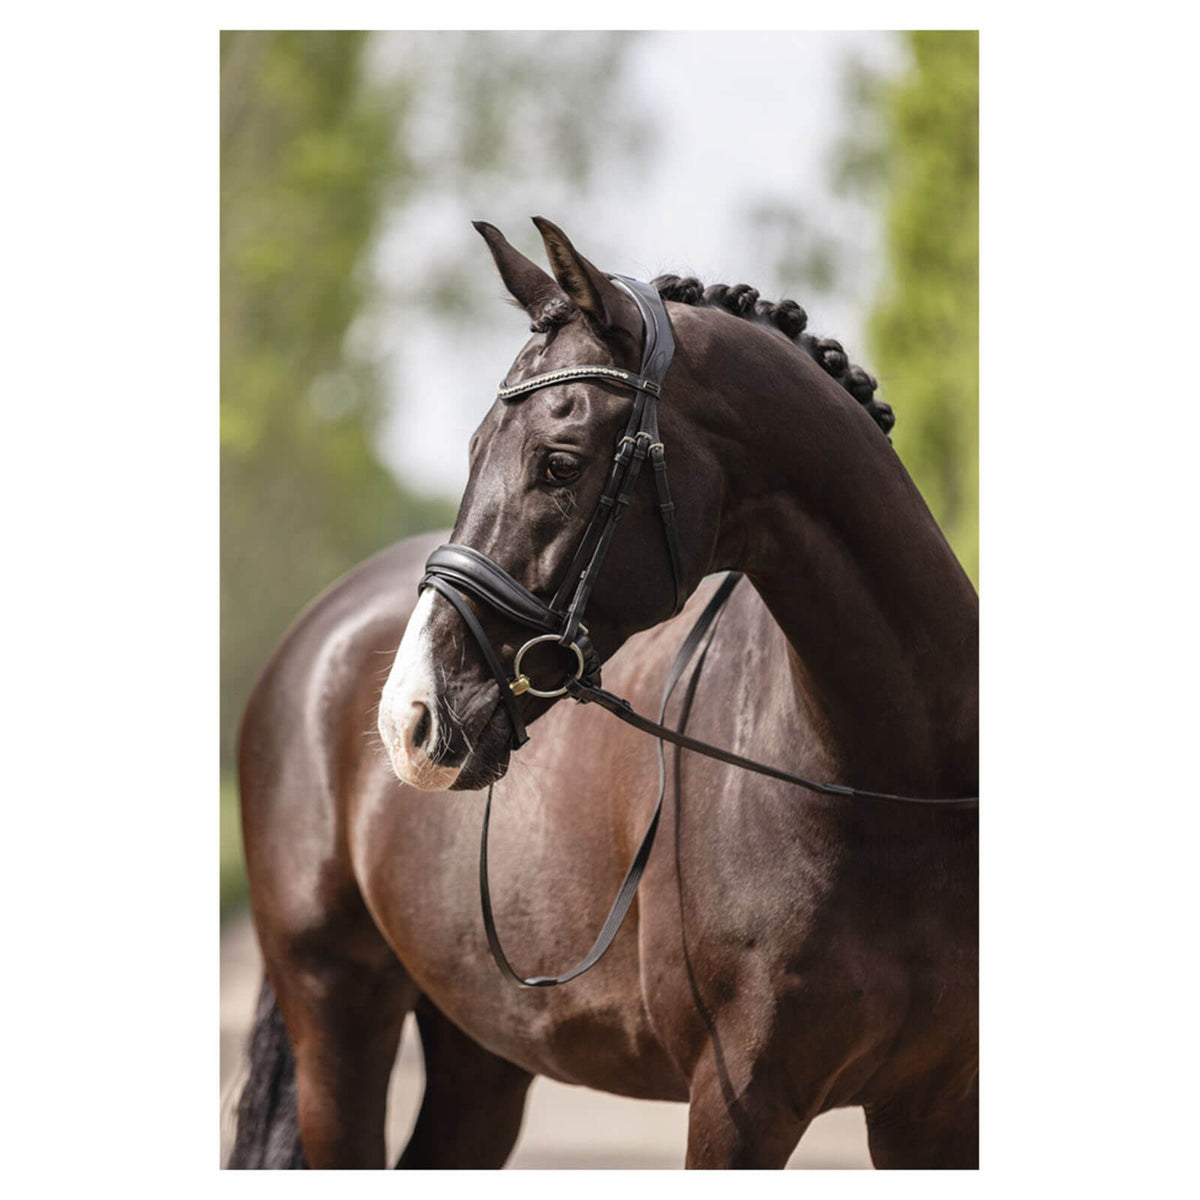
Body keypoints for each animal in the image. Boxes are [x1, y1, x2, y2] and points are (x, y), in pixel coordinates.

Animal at [229, 218, 979, 1169]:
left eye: (559, 463)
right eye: (473, 452)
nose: (410, 719)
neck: (900, 790)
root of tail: (315, 630)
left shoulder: (938, 1110)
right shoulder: (741, 1105)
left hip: (481, 1050)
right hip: (335, 1017)